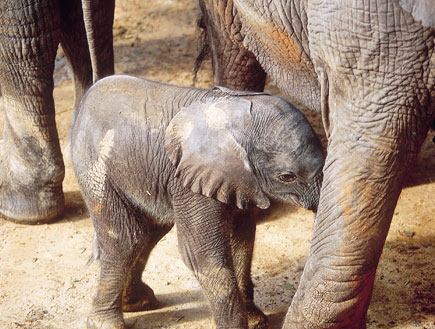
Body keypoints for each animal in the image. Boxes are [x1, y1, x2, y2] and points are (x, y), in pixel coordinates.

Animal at [70, 75, 324, 328]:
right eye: (287, 177)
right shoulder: (189, 181)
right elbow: (199, 253)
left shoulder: (240, 180)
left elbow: (241, 241)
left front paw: (255, 321)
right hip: (95, 166)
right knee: (126, 239)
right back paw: (105, 322)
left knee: (150, 232)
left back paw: (137, 302)